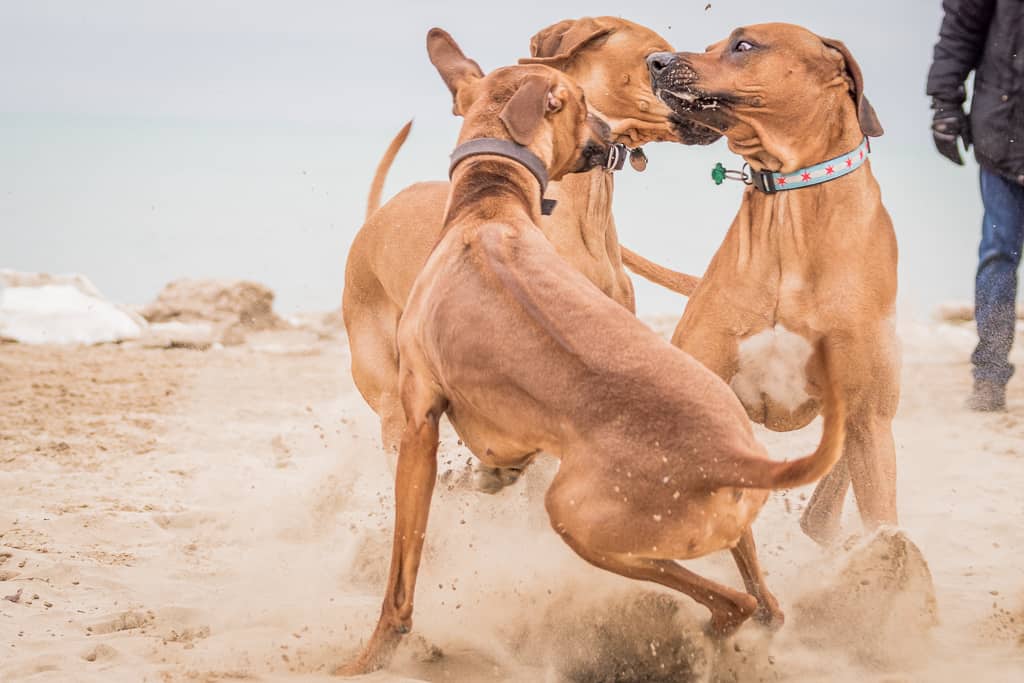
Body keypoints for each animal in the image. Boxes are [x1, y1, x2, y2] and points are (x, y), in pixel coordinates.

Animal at [643, 24, 901, 540]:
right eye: (709, 46)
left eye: (744, 45)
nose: (654, 61)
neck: (788, 207)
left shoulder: (869, 414)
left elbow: (883, 516)